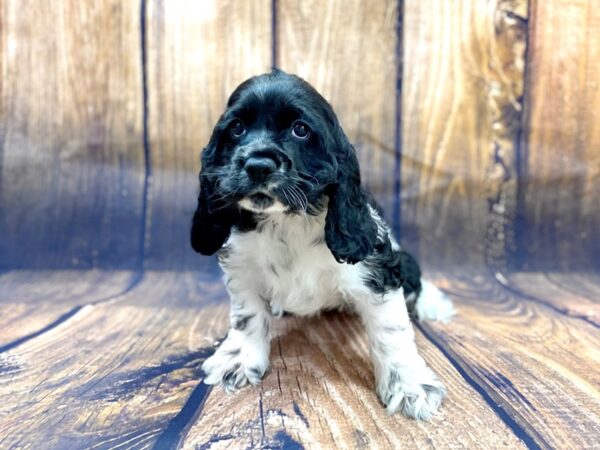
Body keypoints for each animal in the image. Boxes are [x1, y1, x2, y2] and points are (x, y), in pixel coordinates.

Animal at [192, 68, 454, 420]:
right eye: (237, 128)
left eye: (300, 130)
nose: (258, 165)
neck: (286, 222)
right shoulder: (242, 269)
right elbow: (247, 315)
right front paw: (240, 359)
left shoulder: (375, 269)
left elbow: (391, 331)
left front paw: (409, 385)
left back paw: (434, 302)